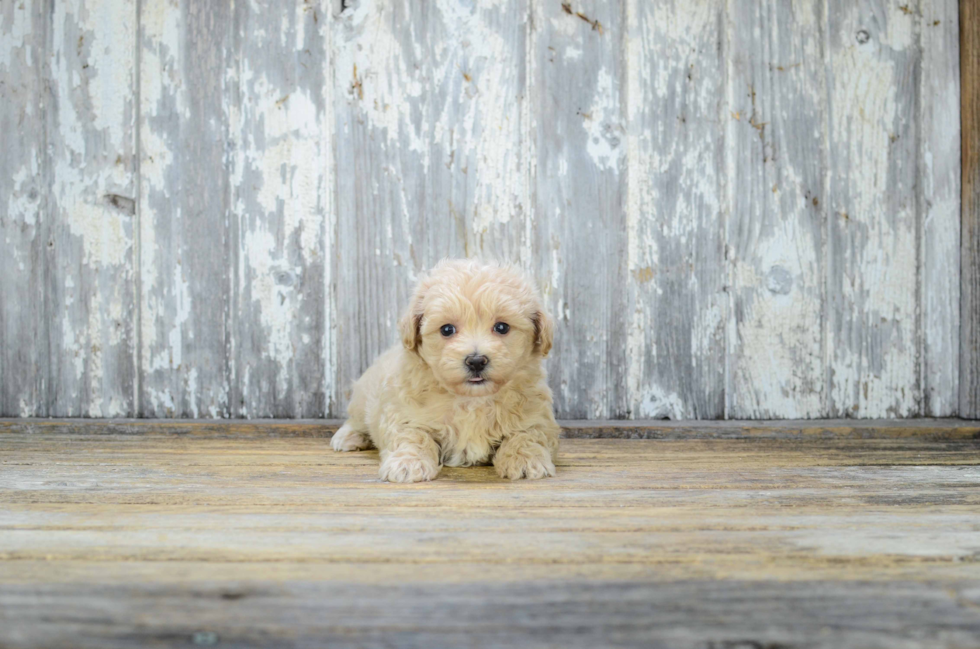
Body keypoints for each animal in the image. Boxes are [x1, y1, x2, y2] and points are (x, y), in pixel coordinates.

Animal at [330, 258, 560, 480]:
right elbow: (413, 436)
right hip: (363, 396)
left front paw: (526, 460)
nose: (476, 361)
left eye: (502, 327)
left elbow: (526, 435)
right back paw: (348, 437)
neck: (472, 400)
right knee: (356, 419)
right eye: (447, 329)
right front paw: (408, 464)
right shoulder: (404, 413)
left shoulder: (537, 416)